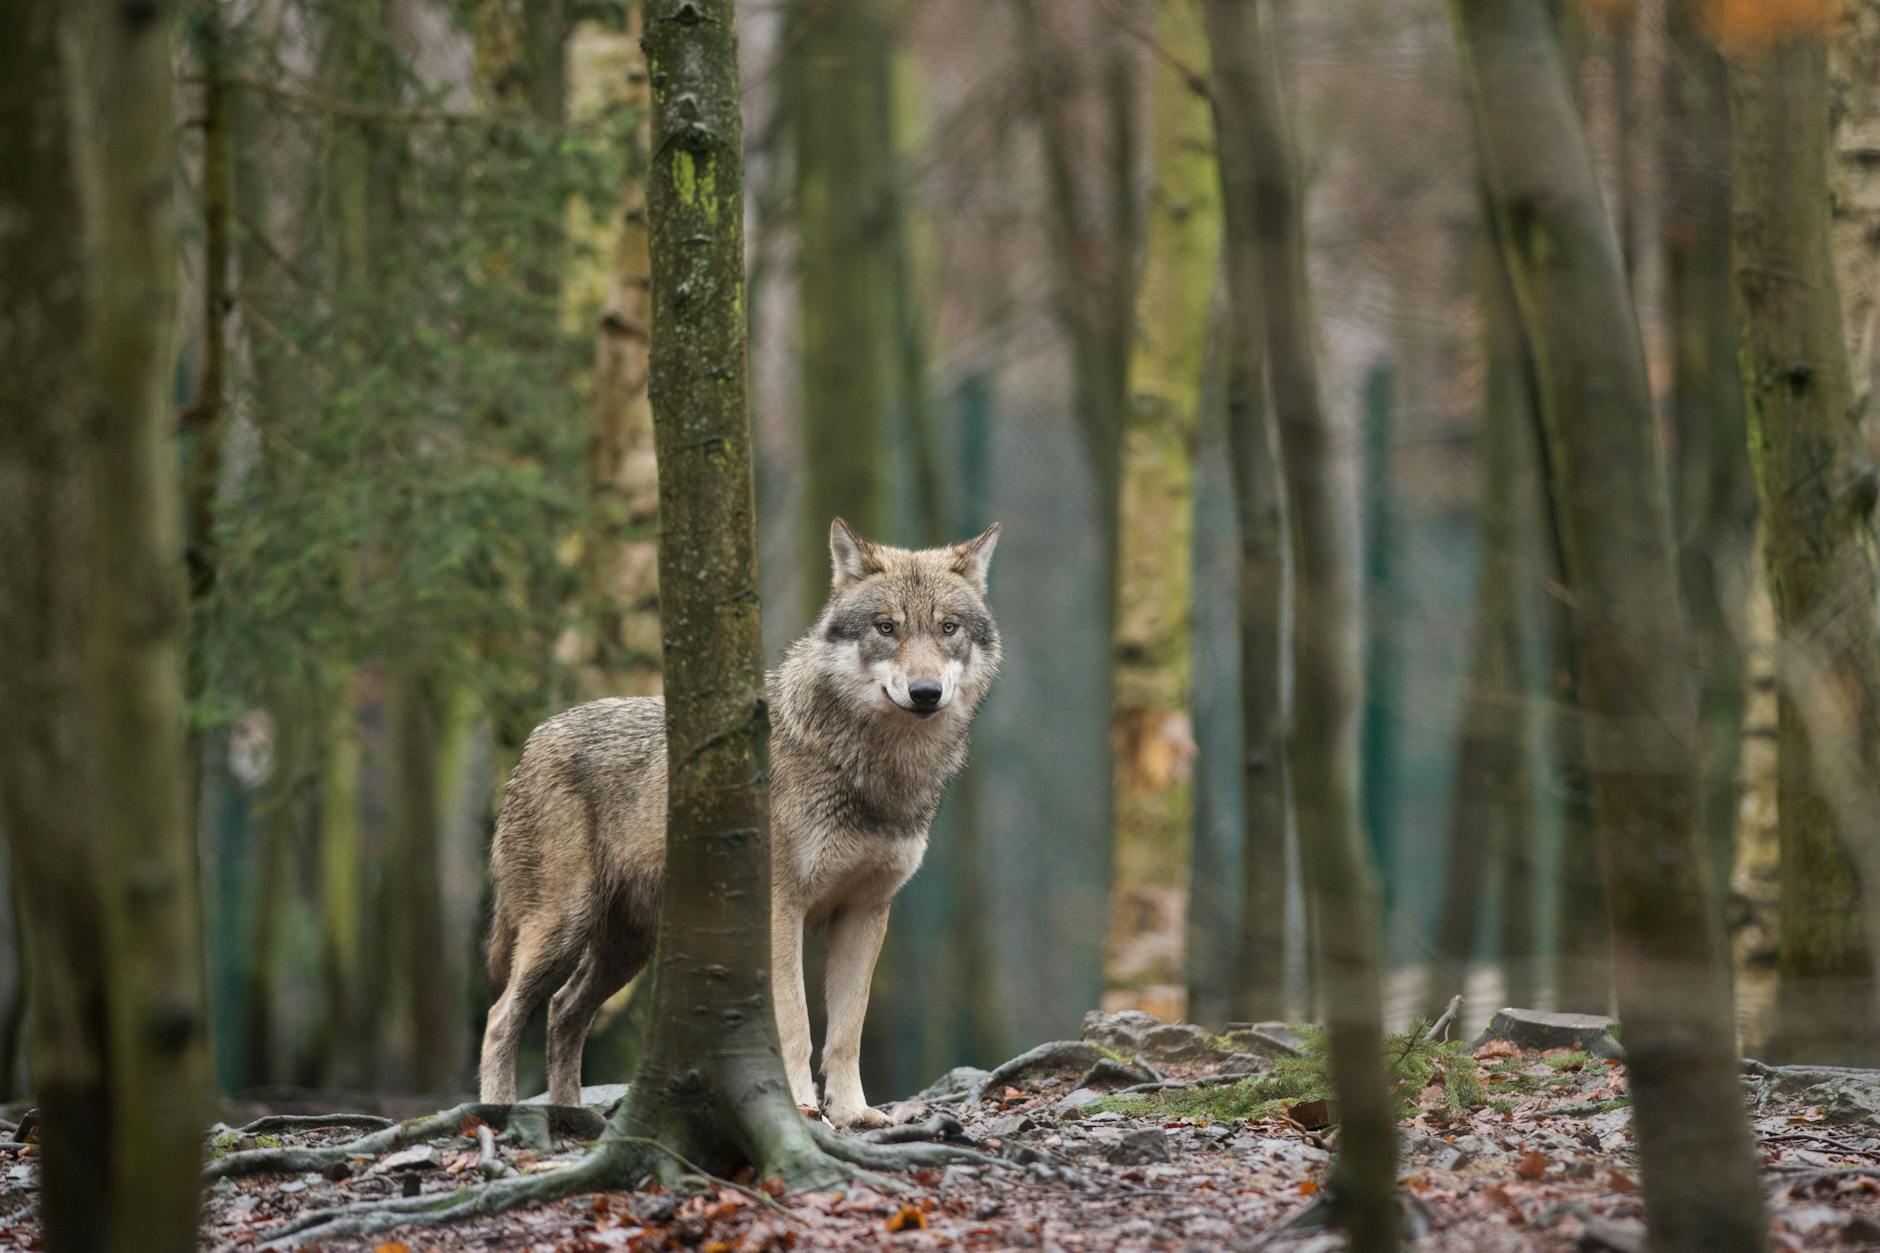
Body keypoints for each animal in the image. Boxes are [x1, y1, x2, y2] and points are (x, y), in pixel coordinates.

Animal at [477, 518, 1001, 1128]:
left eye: (948, 628)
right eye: (886, 627)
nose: (925, 693)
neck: (875, 770)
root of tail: (534, 739)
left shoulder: (866, 911)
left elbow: (846, 1032)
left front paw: (853, 1114)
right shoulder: (781, 908)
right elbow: (795, 1025)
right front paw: (800, 1107)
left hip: (626, 949)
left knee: (563, 1012)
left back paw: (571, 1117)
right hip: (562, 928)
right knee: (501, 1017)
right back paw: (498, 1113)